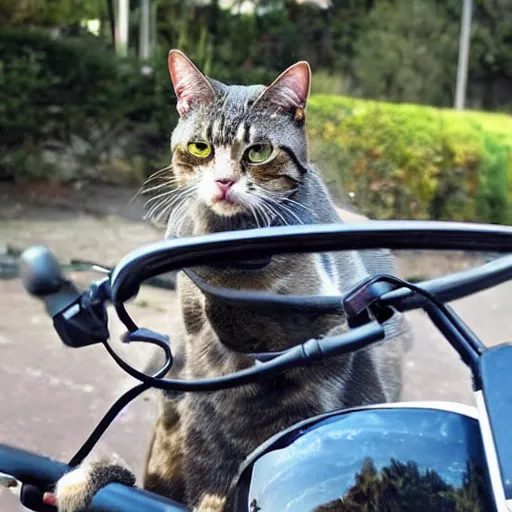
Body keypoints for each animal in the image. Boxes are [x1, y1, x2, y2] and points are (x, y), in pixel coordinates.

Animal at [50, 49, 412, 512]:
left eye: (259, 152)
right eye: (200, 147)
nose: (223, 181)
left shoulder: (314, 371)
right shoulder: (201, 367)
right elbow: (208, 451)